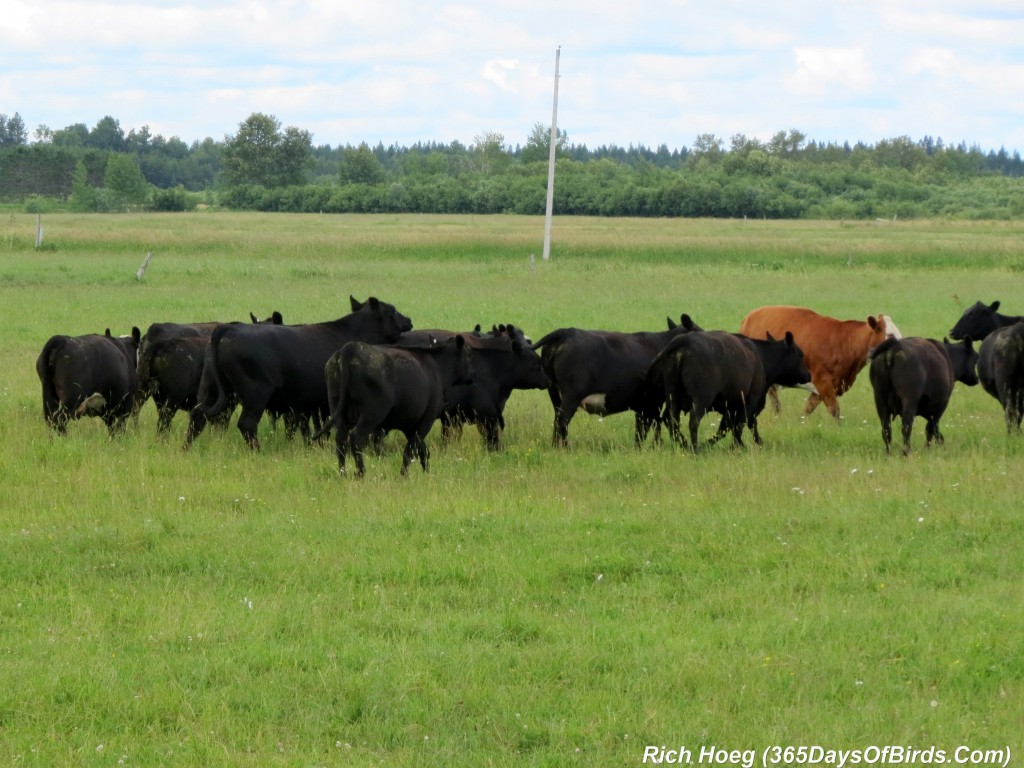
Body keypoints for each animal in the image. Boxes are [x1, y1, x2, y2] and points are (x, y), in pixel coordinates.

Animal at [186, 296, 409, 450]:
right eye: (393, 311)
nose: (409, 320)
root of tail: (226, 329)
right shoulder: (326, 402)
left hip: (211, 387)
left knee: (197, 415)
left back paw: (186, 448)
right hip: (255, 393)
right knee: (247, 424)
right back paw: (257, 451)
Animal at [313, 335, 473, 475]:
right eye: (468, 355)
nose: (473, 375)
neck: (437, 367)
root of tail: (351, 348)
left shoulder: (410, 425)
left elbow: (422, 450)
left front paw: (427, 473)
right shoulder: (426, 420)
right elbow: (410, 450)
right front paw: (403, 475)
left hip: (339, 410)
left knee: (341, 441)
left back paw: (343, 474)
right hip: (372, 414)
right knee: (356, 439)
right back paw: (361, 473)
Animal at [532, 313, 700, 448]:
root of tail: (564, 332)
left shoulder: (643, 403)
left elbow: (641, 430)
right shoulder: (654, 401)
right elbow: (654, 425)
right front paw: (656, 447)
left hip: (555, 394)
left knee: (557, 421)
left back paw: (557, 447)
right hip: (571, 396)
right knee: (562, 421)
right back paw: (565, 449)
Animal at [647, 331, 815, 450]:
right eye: (800, 355)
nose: (809, 375)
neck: (760, 357)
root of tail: (684, 340)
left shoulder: (730, 407)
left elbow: (727, 429)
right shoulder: (750, 401)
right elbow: (741, 425)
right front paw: (739, 446)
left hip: (672, 396)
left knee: (671, 419)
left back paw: (681, 444)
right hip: (701, 399)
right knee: (693, 421)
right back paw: (695, 448)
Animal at [741, 305, 901, 417]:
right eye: (890, 335)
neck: (845, 343)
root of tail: (749, 317)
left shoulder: (826, 388)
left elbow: (807, 409)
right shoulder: (823, 382)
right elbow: (835, 411)